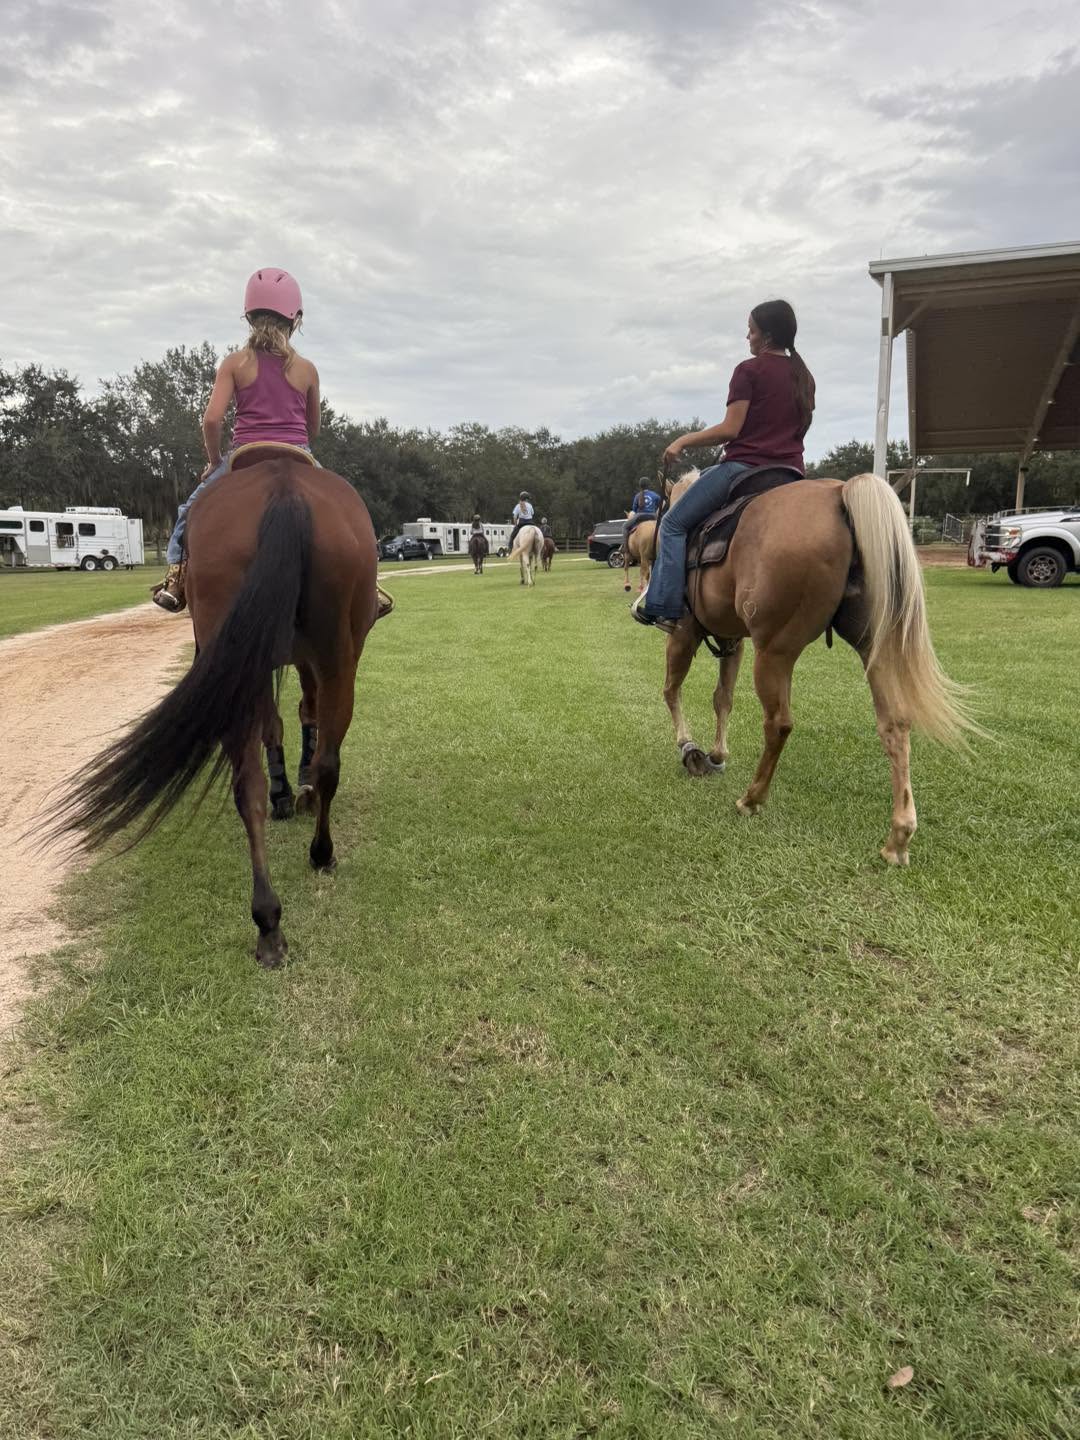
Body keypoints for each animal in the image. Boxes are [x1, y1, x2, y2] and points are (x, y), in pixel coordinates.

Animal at [48, 452, 379, 966]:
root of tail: (283, 487)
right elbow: (292, 723)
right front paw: (292, 792)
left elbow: (292, 721)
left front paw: (292, 791)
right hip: (332, 656)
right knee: (310, 768)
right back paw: (295, 884)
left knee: (259, 779)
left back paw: (277, 907)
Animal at [657, 468, 975, 865]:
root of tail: (841, 493)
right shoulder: (732, 639)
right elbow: (722, 697)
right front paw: (715, 753)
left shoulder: (684, 631)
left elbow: (673, 689)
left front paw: (689, 748)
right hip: (874, 646)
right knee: (895, 723)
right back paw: (898, 838)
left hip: (774, 653)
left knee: (778, 724)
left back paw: (752, 798)